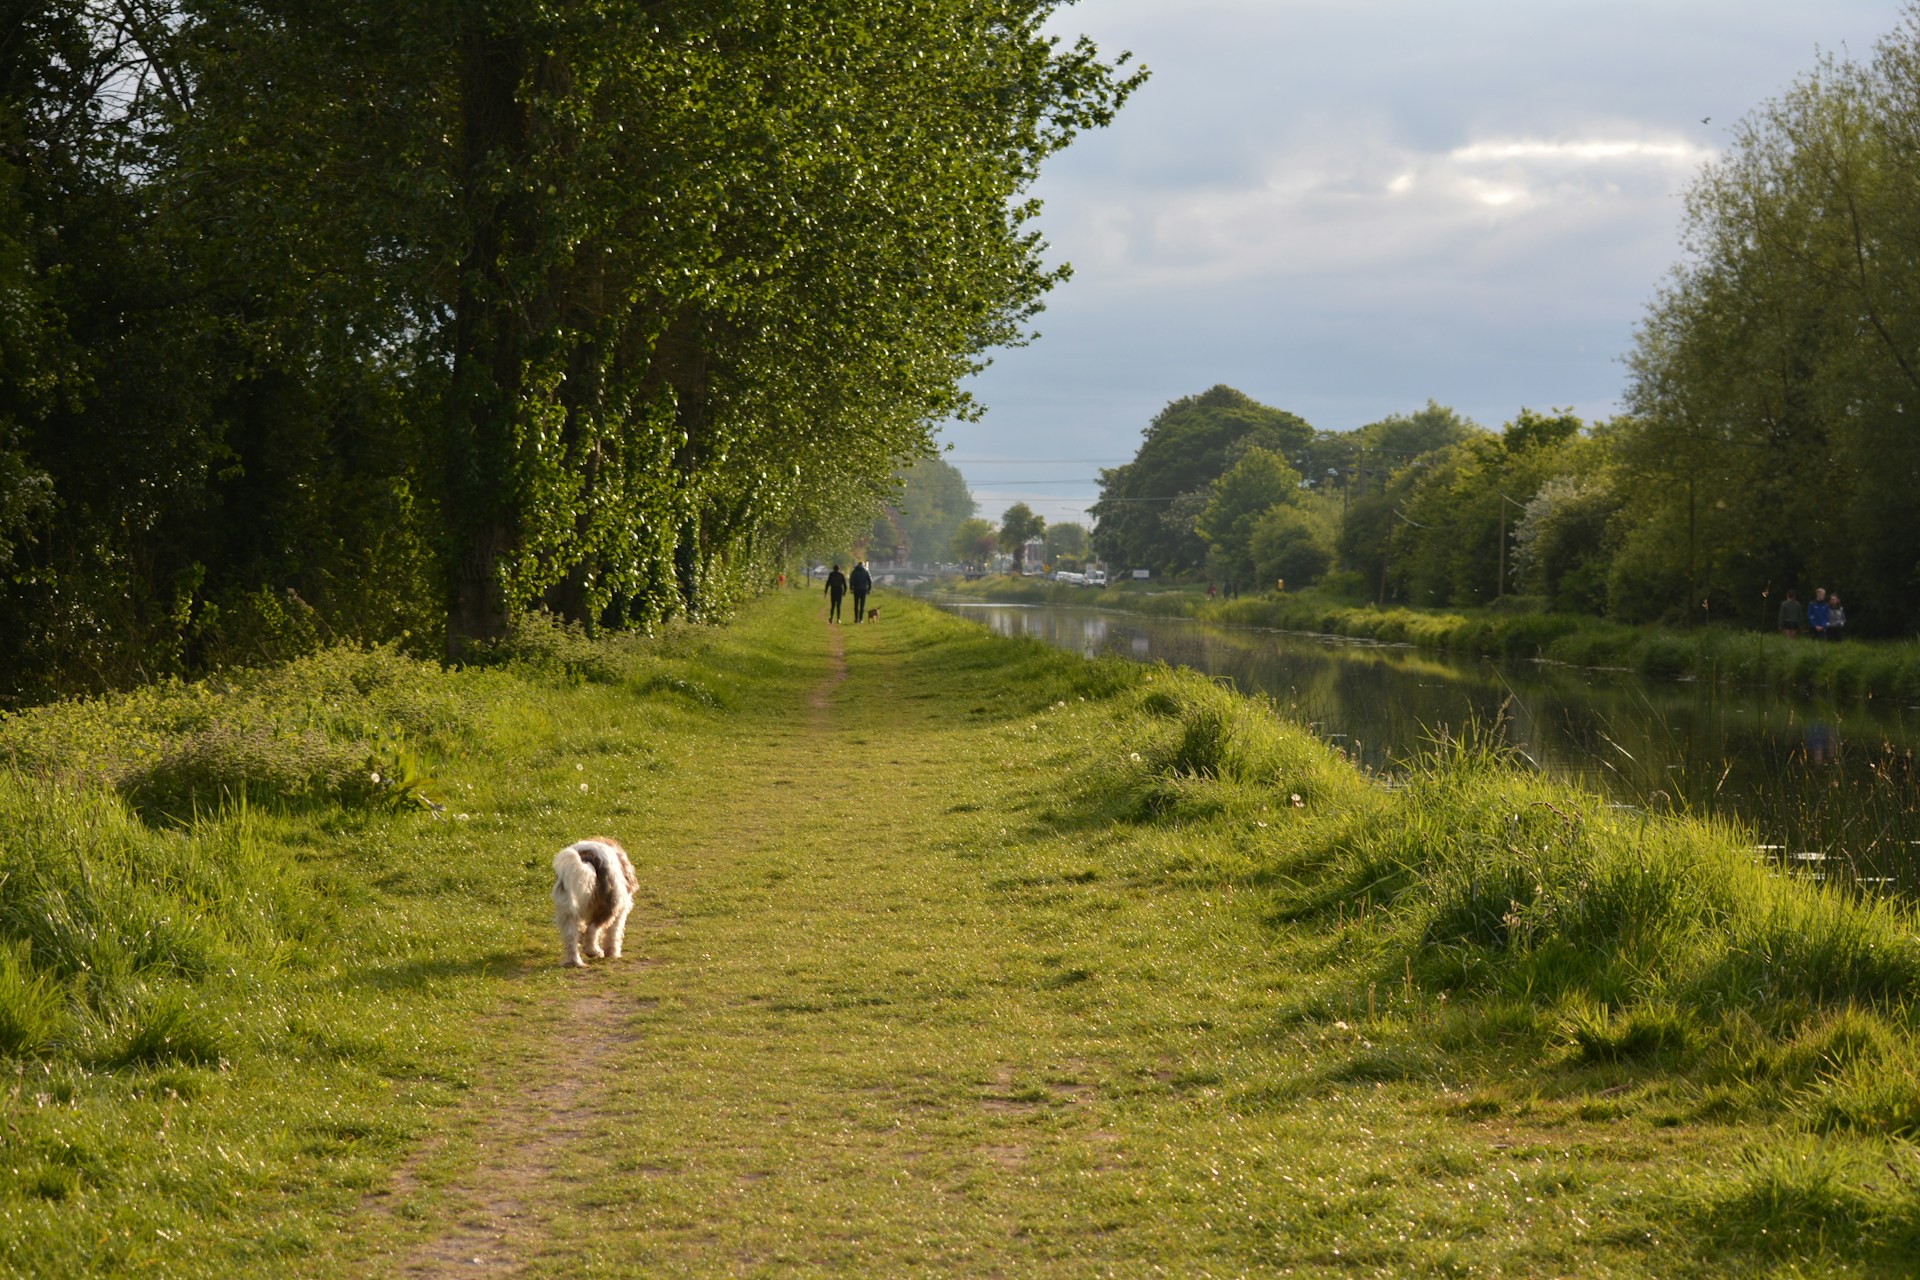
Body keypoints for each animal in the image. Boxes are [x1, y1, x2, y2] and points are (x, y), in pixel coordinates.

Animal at [552, 836, 641, 967]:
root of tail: (588, 857)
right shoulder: (620, 910)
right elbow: (614, 933)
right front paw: (612, 953)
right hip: (609, 907)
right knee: (592, 929)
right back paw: (593, 951)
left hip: (567, 910)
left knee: (571, 937)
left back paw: (575, 962)